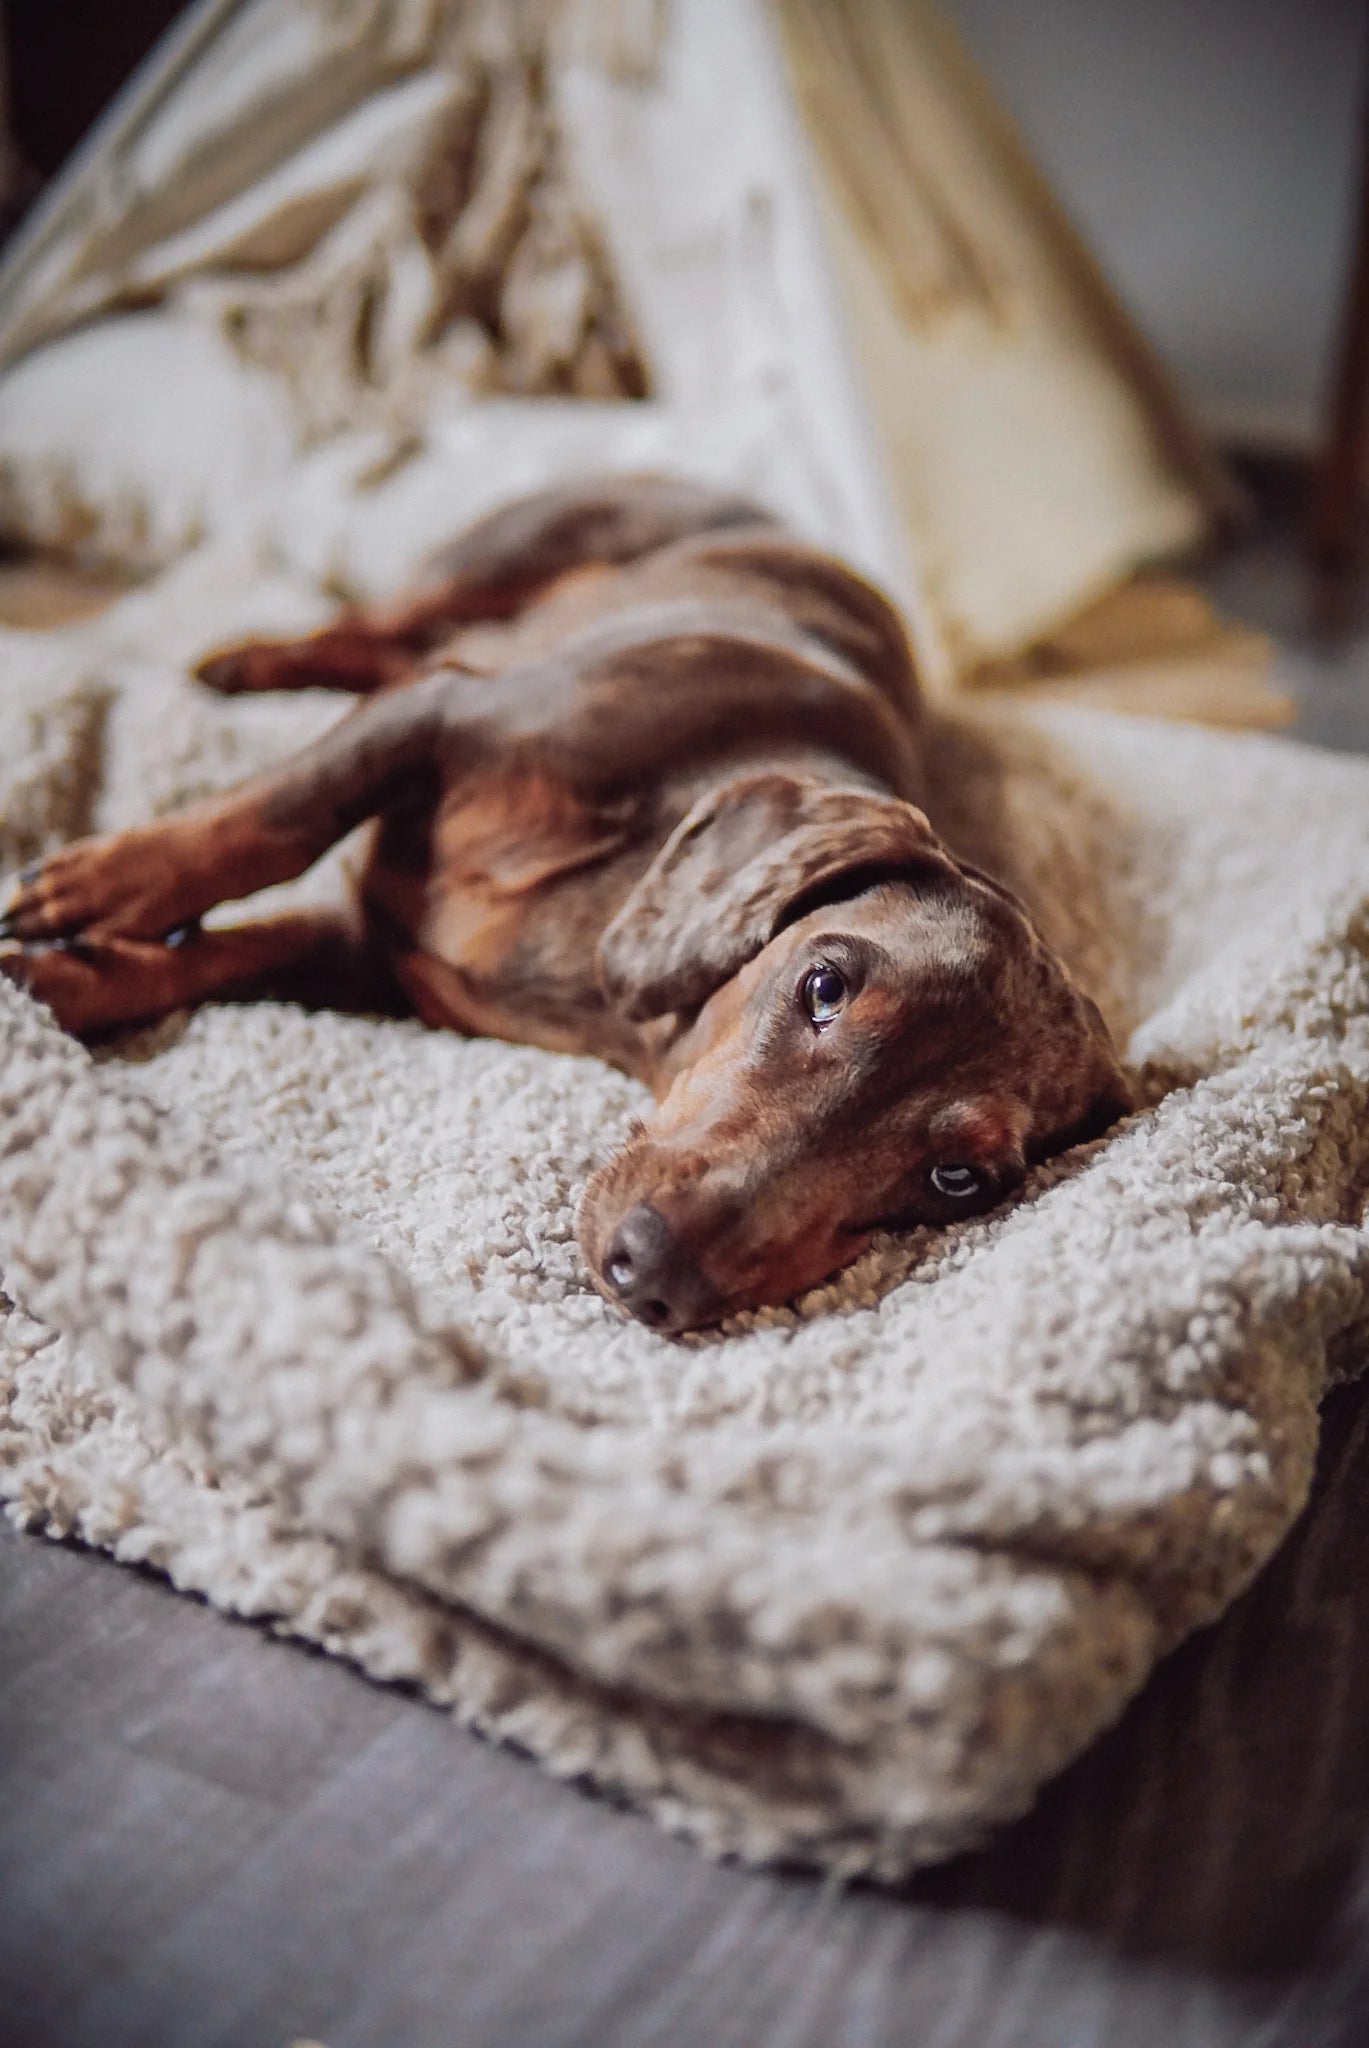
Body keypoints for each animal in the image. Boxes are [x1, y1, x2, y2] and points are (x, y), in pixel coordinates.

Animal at [0, 473, 1131, 1335]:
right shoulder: (448, 712)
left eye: (958, 1180)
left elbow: (216, 957)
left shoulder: (373, 961)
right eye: (824, 983)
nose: (654, 1271)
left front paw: (66, 978)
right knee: (374, 628)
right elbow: (272, 818)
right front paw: (97, 884)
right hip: (495, 564)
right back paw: (245, 662)